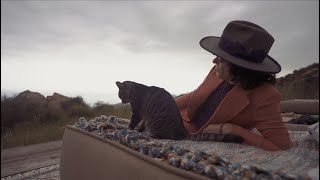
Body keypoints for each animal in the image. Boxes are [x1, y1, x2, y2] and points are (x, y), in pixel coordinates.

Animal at [116, 81, 244, 143]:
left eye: (120, 95)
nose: (122, 101)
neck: (135, 89)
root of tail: (182, 131)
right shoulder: (143, 116)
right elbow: (141, 124)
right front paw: (138, 129)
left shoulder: (137, 112)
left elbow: (131, 124)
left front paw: (126, 129)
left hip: (156, 124)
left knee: (162, 136)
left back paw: (150, 135)